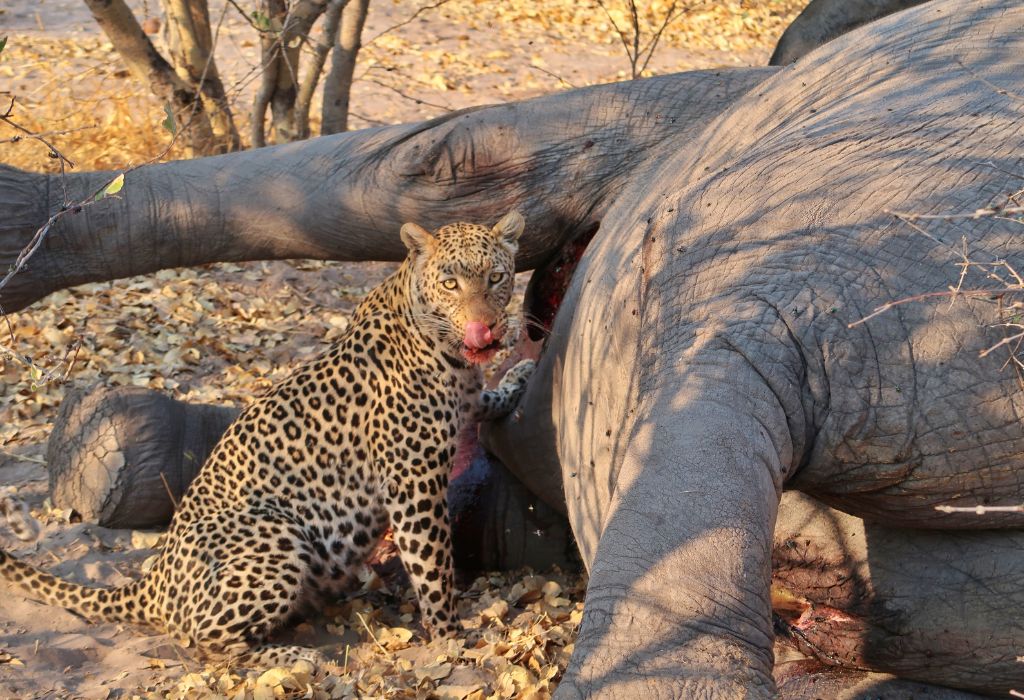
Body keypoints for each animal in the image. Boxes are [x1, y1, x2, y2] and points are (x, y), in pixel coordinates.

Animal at [0, 211, 540, 667]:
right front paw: (451, 636)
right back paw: (294, 657)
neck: (442, 349)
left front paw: (517, 377)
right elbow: (432, 565)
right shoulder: (412, 482)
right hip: (275, 533)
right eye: (451, 283)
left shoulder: (462, 400)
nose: (486, 328)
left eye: (496, 278)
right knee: (204, 645)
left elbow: (482, 399)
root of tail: (151, 583)